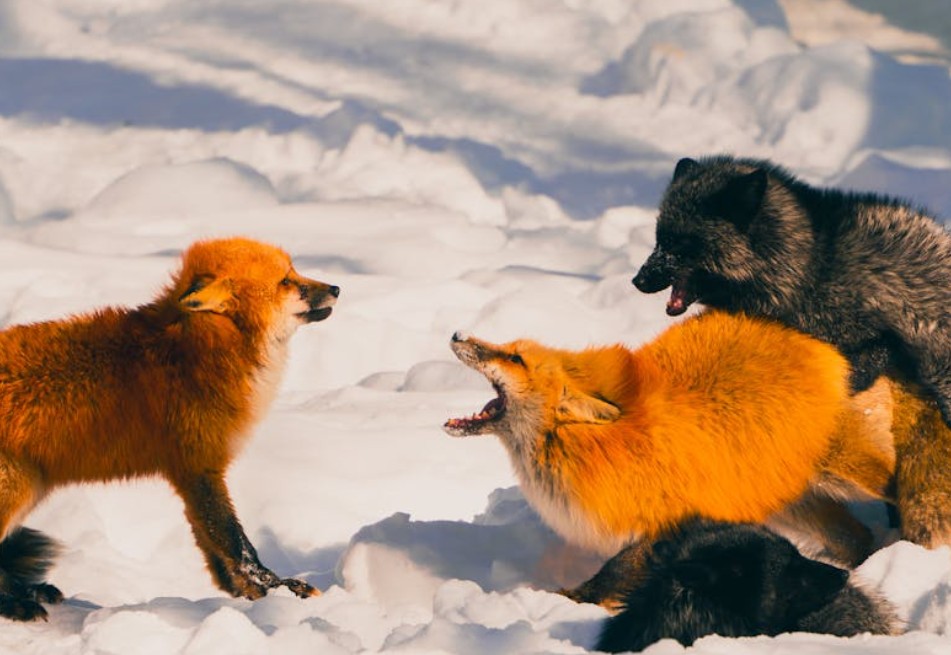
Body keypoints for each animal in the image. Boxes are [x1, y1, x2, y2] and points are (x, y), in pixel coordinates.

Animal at [0, 237, 339, 620]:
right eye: (286, 281)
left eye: (295, 272)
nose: (336, 288)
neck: (202, 348)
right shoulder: (199, 467)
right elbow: (236, 543)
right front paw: (278, 589)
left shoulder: (191, 471)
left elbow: (215, 550)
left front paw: (245, 594)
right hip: (17, 487)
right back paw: (16, 603)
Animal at [443, 311, 935, 603]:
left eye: (514, 358)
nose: (457, 333)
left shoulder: (669, 519)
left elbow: (608, 577)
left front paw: (563, 602)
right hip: (791, 502)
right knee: (856, 539)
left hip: (851, 474)